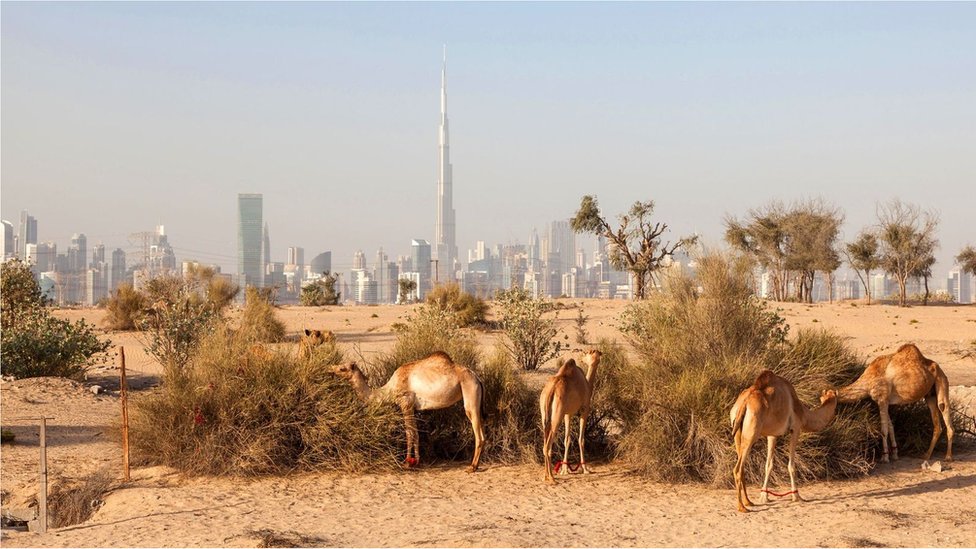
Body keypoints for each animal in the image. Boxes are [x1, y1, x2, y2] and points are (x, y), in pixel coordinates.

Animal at [330, 352, 486, 470]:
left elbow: (409, 433)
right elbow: (416, 433)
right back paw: (475, 465)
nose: (331, 368)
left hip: (470, 391)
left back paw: (472, 467)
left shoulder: (405, 403)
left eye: (342, 368)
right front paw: (417, 461)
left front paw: (407, 462)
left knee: (477, 432)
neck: (389, 390)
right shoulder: (412, 407)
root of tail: (477, 378)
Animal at [540, 348, 604, 482]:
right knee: (548, 445)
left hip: (545, 415)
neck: (588, 385)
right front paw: (585, 469)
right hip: (557, 416)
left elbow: (567, 439)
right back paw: (552, 478)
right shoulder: (584, 411)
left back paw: (545, 476)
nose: (581, 357)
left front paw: (565, 469)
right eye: (586, 353)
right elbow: (581, 439)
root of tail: (551, 390)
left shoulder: (567, 414)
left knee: (544, 443)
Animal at [732, 370, 840, 512]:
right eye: (836, 403)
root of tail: (744, 402)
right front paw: (797, 496)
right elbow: (791, 466)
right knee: (738, 468)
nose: (836, 415)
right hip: (752, 432)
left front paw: (764, 497)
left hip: (737, 430)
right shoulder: (796, 429)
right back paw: (741, 507)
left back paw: (748, 502)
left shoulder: (773, 434)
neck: (804, 414)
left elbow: (768, 465)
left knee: (742, 465)